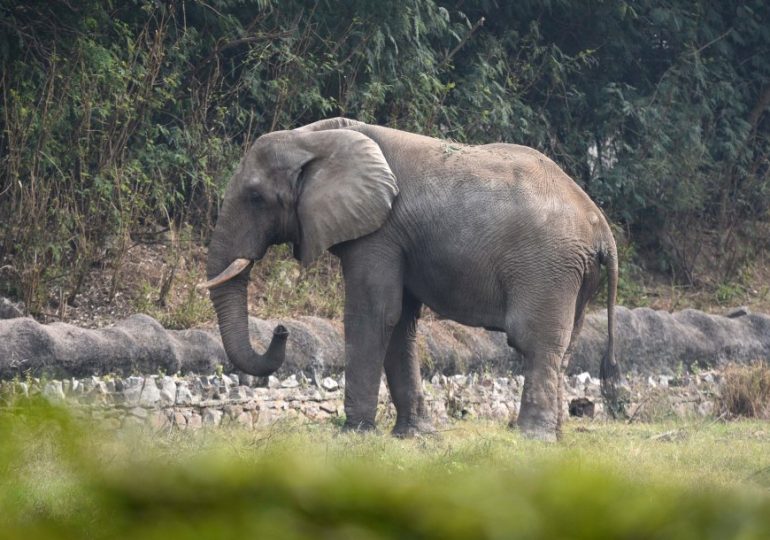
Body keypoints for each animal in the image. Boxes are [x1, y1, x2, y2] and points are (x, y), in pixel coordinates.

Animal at [202, 117, 620, 441]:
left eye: (255, 198)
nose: (281, 329)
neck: (315, 136)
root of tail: (602, 227)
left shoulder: (380, 233)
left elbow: (373, 314)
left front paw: (354, 434)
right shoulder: (396, 238)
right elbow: (400, 322)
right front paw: (415, 436)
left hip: (548, 267)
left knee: (535, 343)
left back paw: (530, 438)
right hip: (573, 274)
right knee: (565, 348)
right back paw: (554, 437)